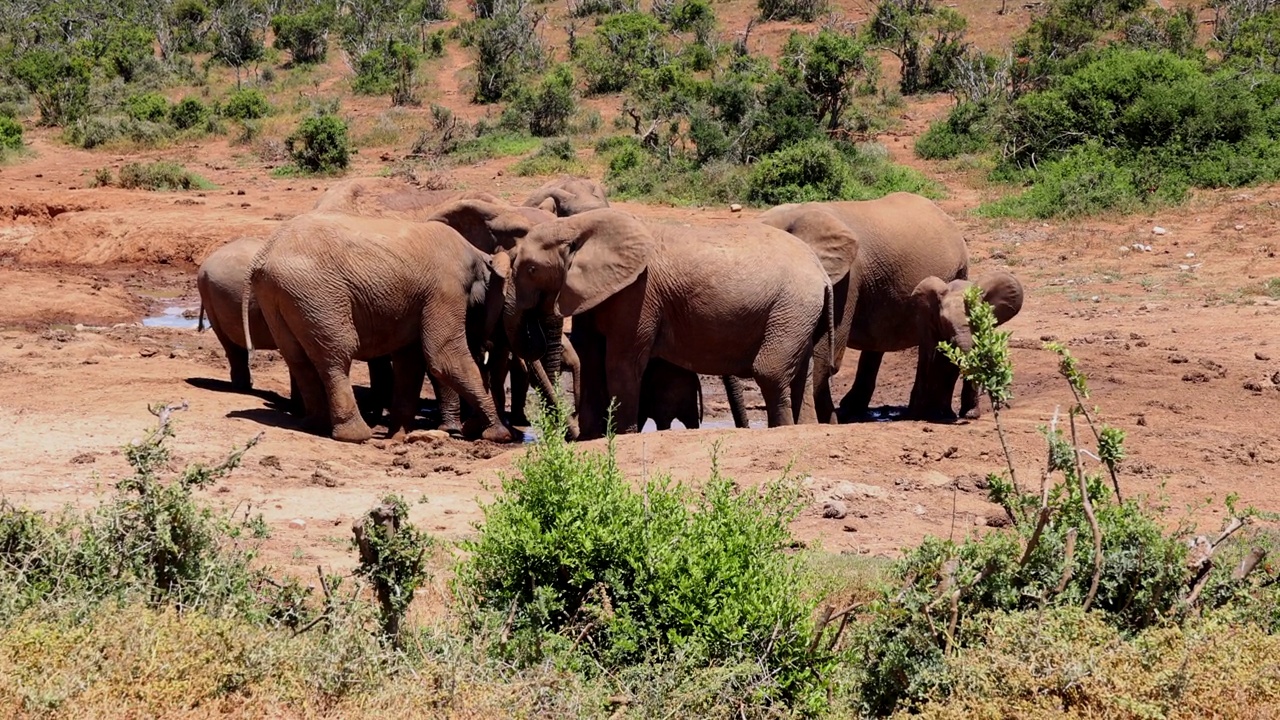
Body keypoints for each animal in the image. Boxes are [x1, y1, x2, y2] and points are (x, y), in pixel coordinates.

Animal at [244, 210, 514, 440]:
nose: (469, 428)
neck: (479, 255)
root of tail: (265, 253)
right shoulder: (446, 289)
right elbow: (444, 357)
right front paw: (499, 434)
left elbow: (410, 361)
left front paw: (398, 437)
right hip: (316, 292)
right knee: (336, 355)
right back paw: (355, 435)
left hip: (277, 294)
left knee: (297, 358)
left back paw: (315, 426)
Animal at [504, 206, 834, 438]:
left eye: (531, 269)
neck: (578, 225)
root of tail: (822, 274)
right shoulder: (596, 290)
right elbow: (592, 355)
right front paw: (592, 438)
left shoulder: (638, 293)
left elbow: (621, 362)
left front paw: (622, 436)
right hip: (799, 313)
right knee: (800, 374)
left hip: (791, 306)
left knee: (771, 372)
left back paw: (782, 429)